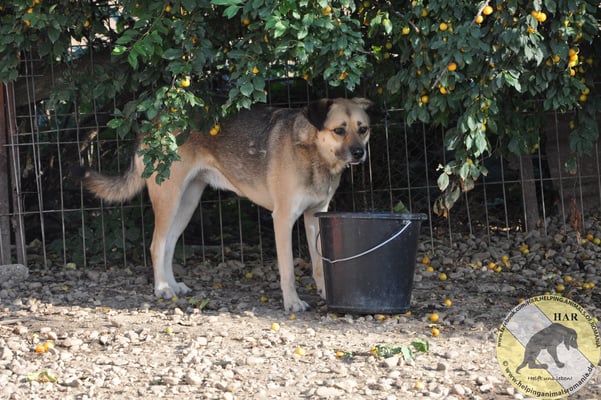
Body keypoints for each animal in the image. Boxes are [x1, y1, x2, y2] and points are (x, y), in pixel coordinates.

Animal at [79, 98, 375, 312]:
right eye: (339, 130)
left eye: (363, 129)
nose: (359, 153)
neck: (314, 153)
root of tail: (155, 121)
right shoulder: (283, 219)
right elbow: (288, 270)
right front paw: (292, 302)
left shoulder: (315, 216)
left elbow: (319, 264)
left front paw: (325, 292)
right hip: (168, 199)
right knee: (156, 245)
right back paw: (162, 287)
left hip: (187, 202)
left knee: (169, 244)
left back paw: (173, 285)